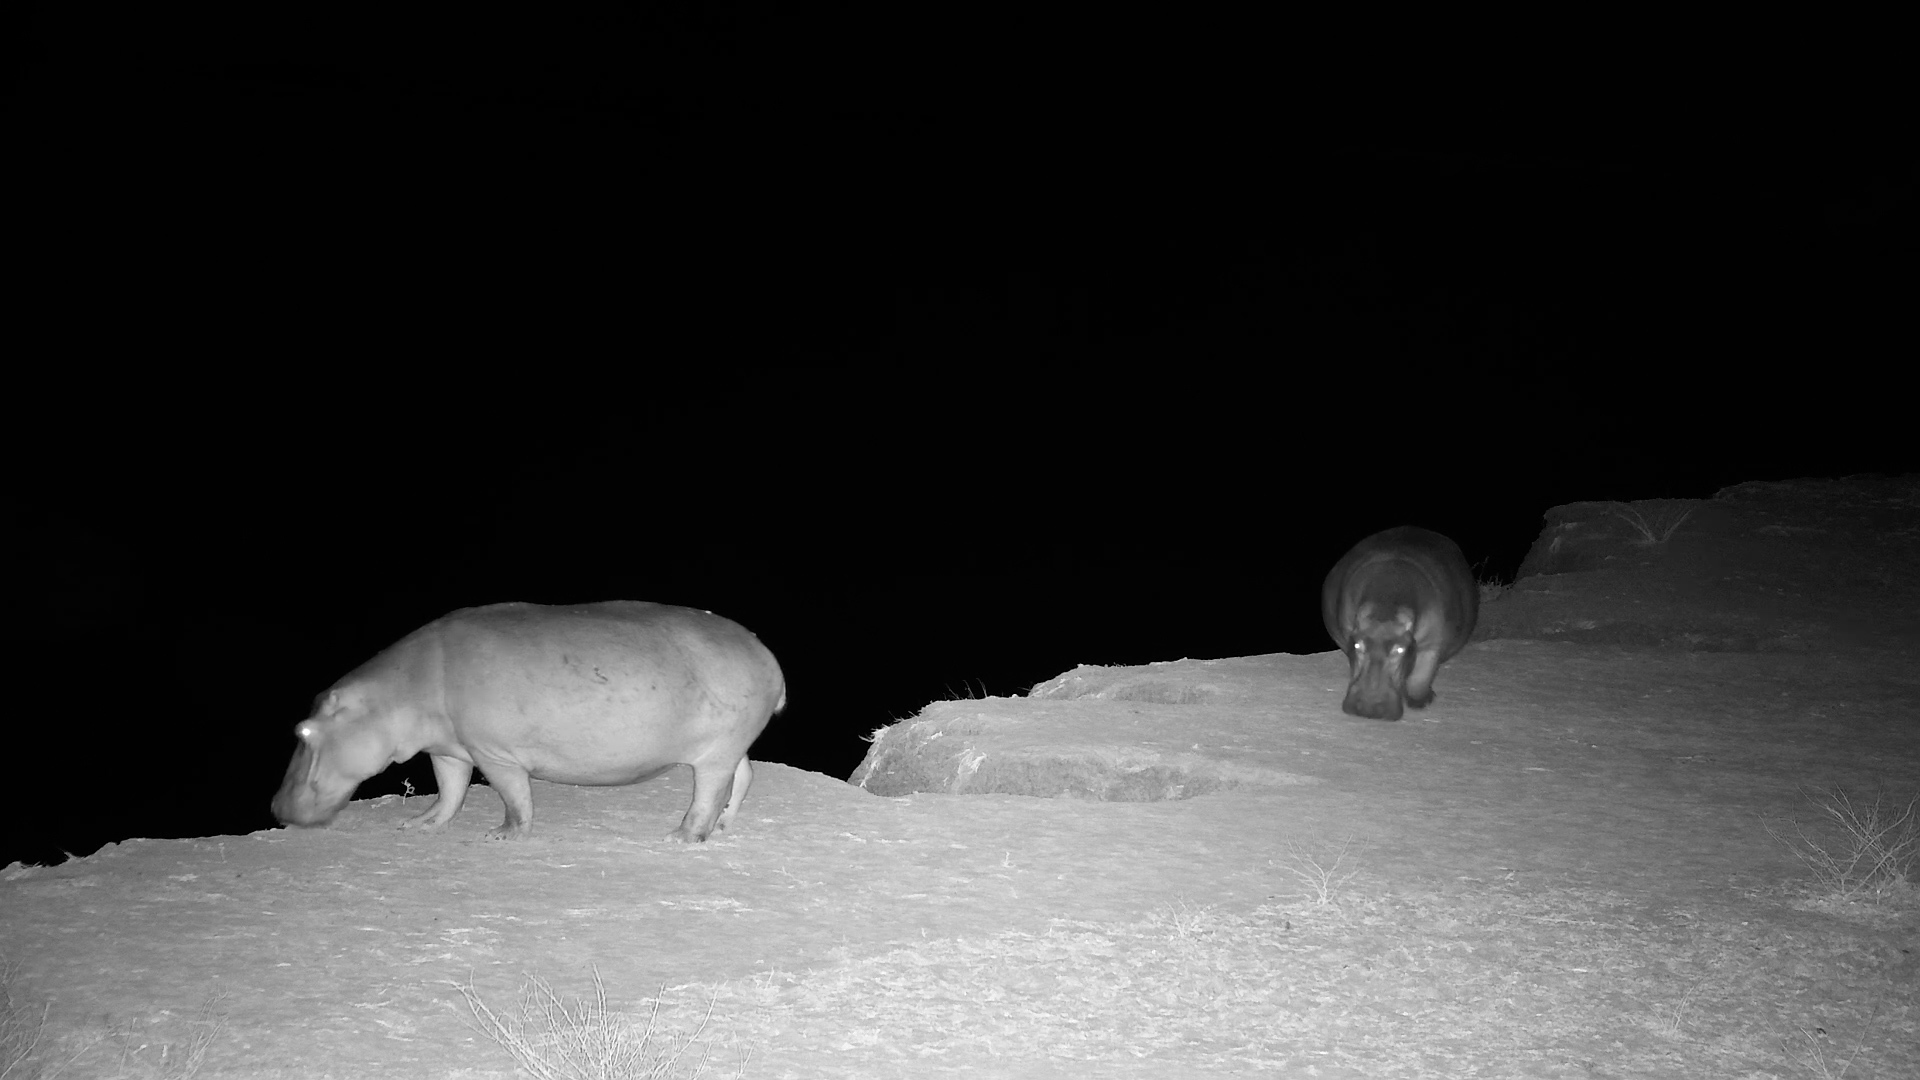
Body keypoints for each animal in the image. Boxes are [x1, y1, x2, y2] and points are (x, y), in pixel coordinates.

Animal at [272, 601, 786, 842]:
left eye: (302, 731)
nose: (276, 808)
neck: (395, 692)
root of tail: (767, 657)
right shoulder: (448, 749)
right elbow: (449, 792)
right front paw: (419, 824)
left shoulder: (493, 754)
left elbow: (514, 798)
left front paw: (500, 835)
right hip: (728, 745)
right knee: (743, 777)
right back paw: (724, 824)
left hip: (715, 752)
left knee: (708, 793)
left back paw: (681, 836)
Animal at [1322, 526, 1477, 721]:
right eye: (1357, 645)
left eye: (1400, 649)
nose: (1368, 708)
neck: (1386, 604)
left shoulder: (1432, 642)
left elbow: (1422, 675)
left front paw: (1420, 702)